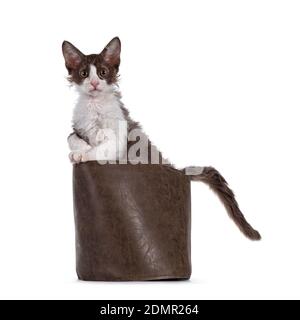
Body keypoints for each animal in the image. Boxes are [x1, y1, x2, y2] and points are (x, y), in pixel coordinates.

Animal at [62, 37, 260, 240]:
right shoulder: (77, 127)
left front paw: (83, 154)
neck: (95, 105)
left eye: (102, 73)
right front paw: (82, 148)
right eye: (84, 73)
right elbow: (72, 138)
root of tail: (177, 170)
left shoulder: (120, 139)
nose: (94, 83)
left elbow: (103, 147)